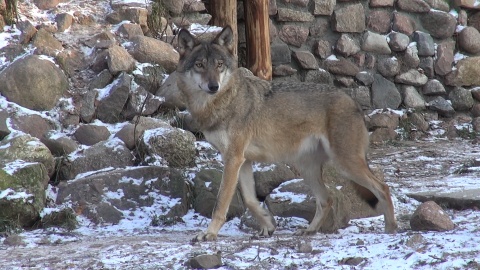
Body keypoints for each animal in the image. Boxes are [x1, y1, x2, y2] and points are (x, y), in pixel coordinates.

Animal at [176, 25, 398, 240]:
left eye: (219, 65)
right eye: (199, 65)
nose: (213, 86)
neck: (220, 103)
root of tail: (353, 101)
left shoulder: (233, 159)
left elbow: (221, 202)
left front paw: (209, 233)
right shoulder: (242, 160)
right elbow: (250, 200)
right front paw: (268, 224)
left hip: (344, 164)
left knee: (383, 187)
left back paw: (391, 229)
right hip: (307, 167)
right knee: (327, 199)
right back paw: (309, 231)